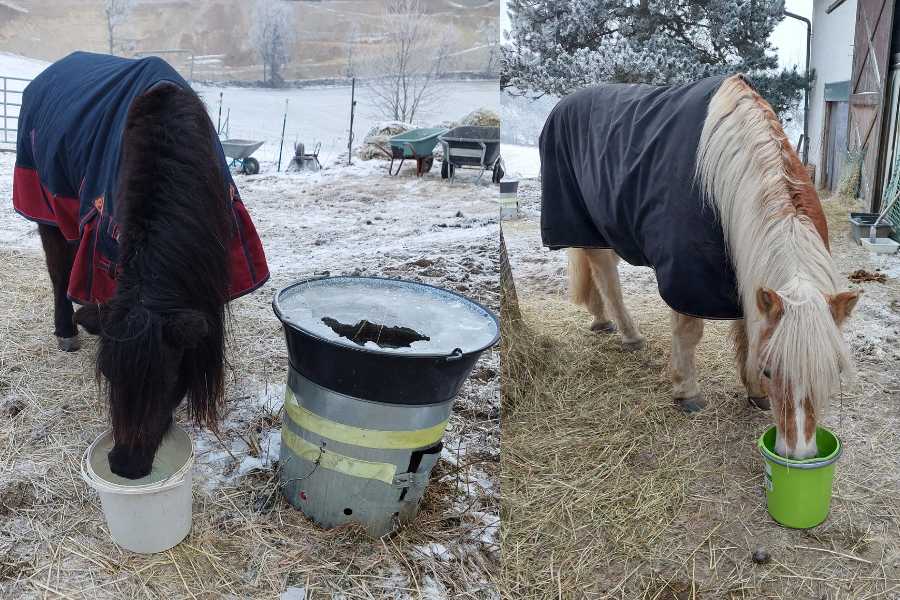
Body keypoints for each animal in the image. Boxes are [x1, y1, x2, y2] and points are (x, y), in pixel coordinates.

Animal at [12, 54, 268, 480]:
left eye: (168, 379)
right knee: (59, 273)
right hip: (46, 209)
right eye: (108, 375)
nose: (125, 465)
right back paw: (66, 331)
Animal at [540, 75, 856, 460]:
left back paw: (601, 320)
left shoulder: (741, 275)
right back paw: (629, 334)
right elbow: (689, 332)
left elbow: (748, 330)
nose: (799, 455)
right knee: (606, 275)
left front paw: (754, 393)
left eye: (833, 372)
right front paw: (687, 394)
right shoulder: (687, 275)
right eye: (770, 370)